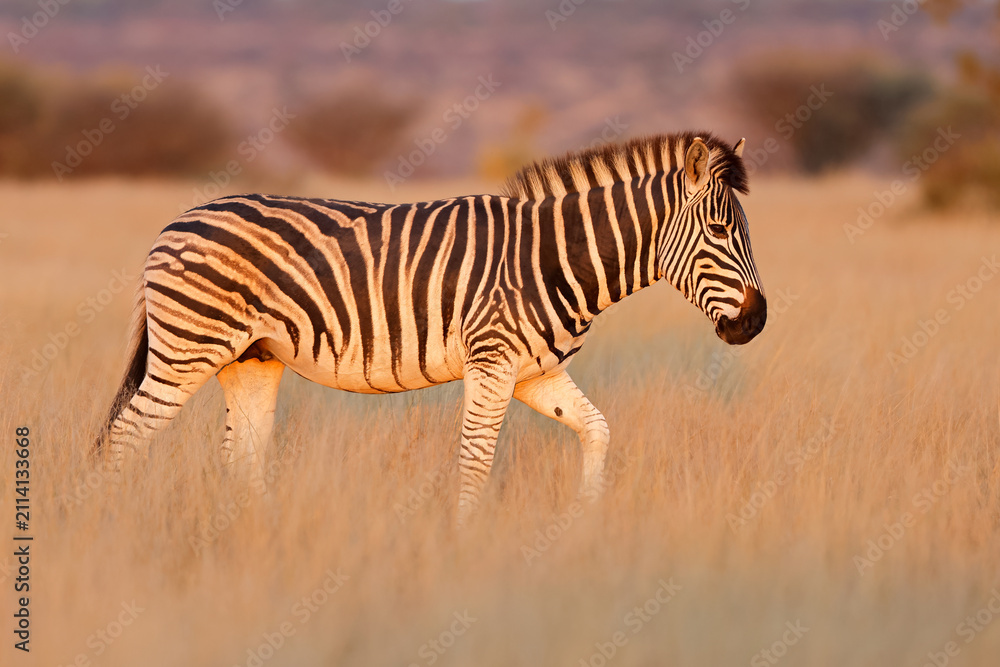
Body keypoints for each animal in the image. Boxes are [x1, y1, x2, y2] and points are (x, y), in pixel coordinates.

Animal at [96, 131, 766, 525]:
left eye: (743, 231)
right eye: (719, 232)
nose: (756, 323)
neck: (553, 256)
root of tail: (176, 221)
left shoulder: (536, 373)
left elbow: (597, 431)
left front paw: (585, 526)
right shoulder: (493, 361)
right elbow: (475, 459)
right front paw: (464, 548)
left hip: (250, 358)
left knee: (242, 459)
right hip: (189, 349)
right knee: (123, 439)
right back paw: (116, 530)